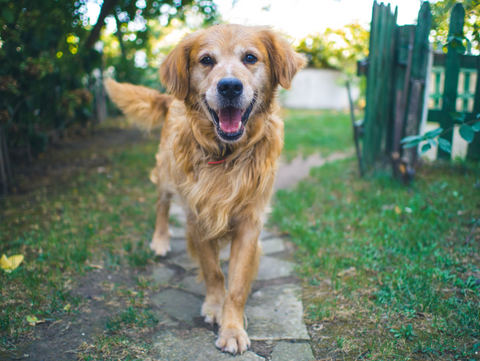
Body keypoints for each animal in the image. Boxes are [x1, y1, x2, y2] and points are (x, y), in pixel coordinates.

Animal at [104, 25, 304, 354]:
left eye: (250, 58)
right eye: (206, 60)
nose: (230, 87)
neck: (227, 154)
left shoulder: (250, 221)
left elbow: (237, 283)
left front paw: (232, 326)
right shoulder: (198, 216)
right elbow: (213, 270)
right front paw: (214, 306)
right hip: (167, 174)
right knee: (161, 204)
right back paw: (160, 240)